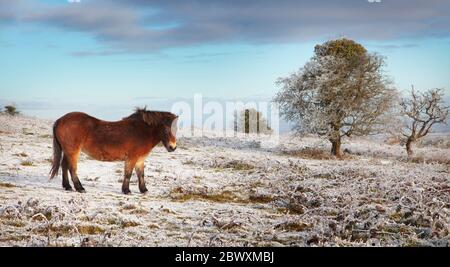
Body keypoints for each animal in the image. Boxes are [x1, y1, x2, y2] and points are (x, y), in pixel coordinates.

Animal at [48, 108, 176, 195]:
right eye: (165, 129)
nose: (173, 147)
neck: (141, 132)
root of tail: (59, 120)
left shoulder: (140, 159)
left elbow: (141, 175)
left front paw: (144, 190)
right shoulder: (132, 158)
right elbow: (128, 174)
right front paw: (126, 190)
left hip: (67, 151)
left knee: (64, 166)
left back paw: (67, 186)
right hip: (73, 151)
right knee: (72, 169)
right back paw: (80, 188)